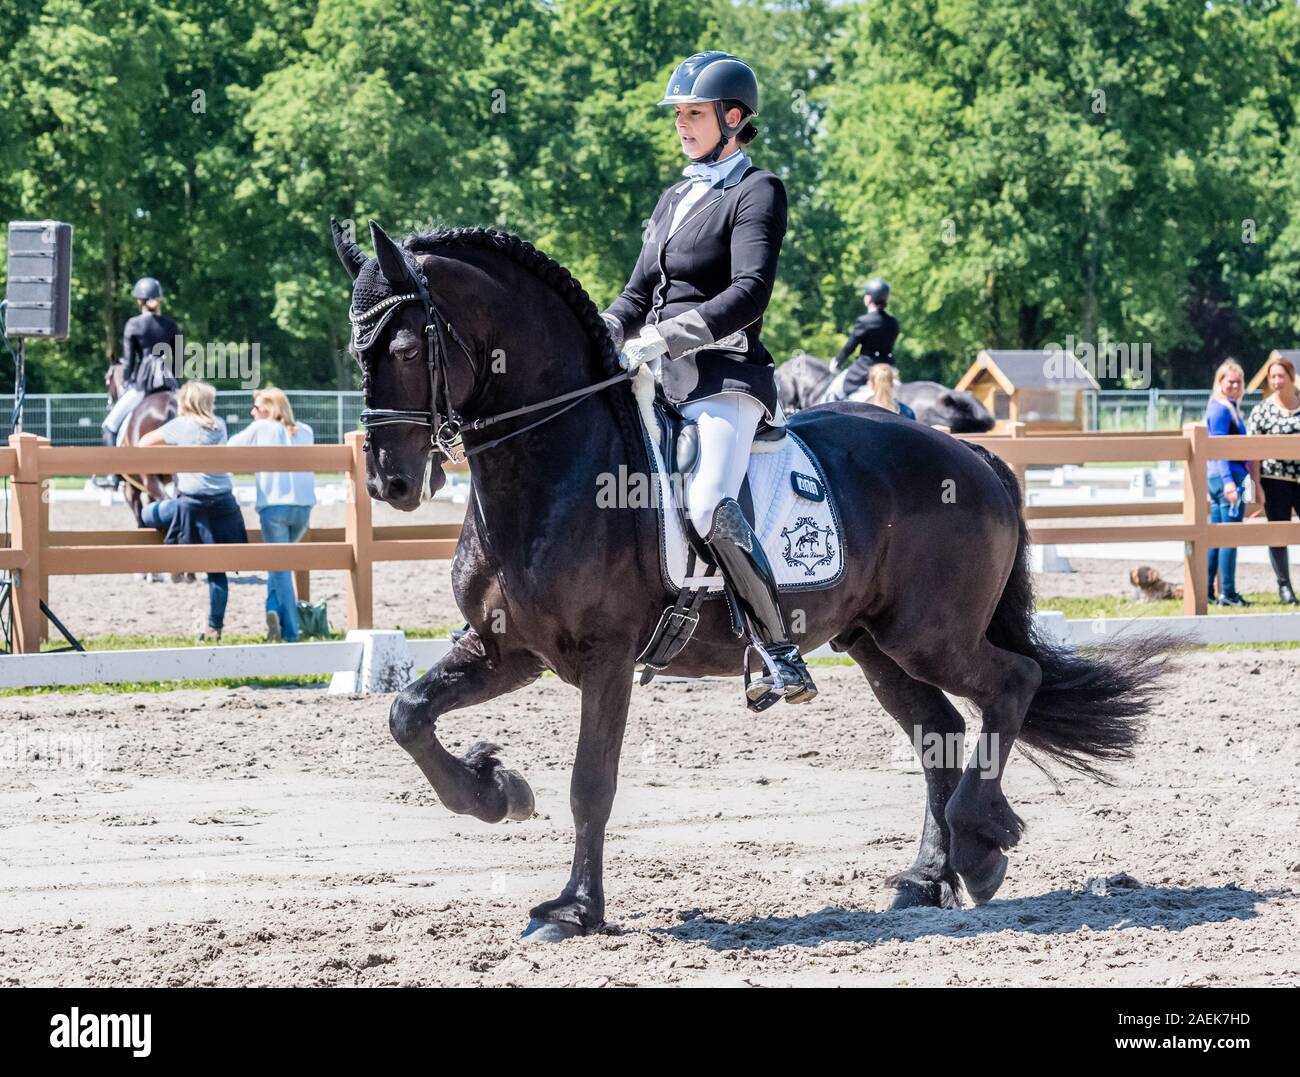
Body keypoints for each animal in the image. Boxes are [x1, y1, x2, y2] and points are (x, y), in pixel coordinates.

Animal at [335, 221, 1170, 941]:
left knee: (1013, 682)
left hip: (931, 634)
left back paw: (979, 843)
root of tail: (975, 457)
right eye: (356, 350)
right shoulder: (506, 648)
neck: (554, 466)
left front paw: (573, 909)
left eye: (405, 345)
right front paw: (495, 788)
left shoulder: (607, 657)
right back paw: (926, 877)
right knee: (940, 727)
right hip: (876, 643)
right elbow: (407, 714)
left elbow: (590, 783)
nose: (390, 482)